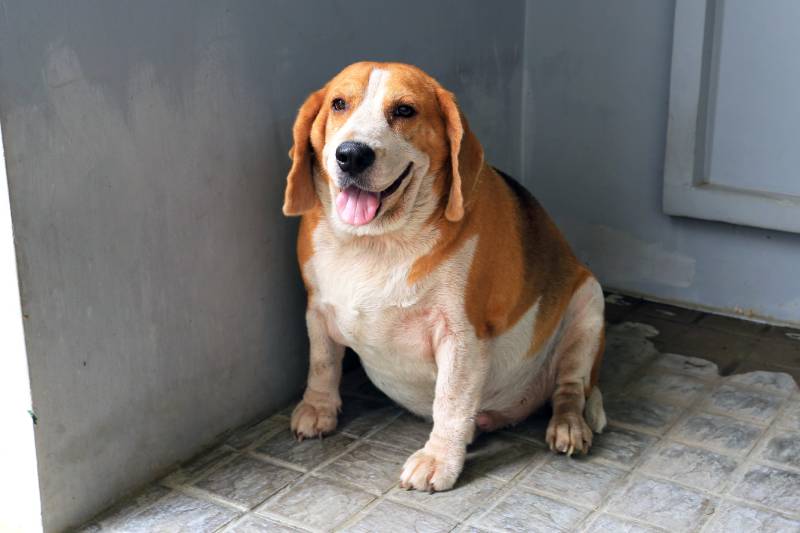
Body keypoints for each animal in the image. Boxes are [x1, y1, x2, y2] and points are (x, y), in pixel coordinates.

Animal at [284, 61, 604, 490]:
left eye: (404, 110)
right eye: (338, 104)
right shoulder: (317, 309)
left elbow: (451, 400)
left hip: (589, 305)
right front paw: (318, 408)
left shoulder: (461, 336)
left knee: (570, 390)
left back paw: (568, 426)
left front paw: (438, 459)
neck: (375, 242)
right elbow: (322, 363)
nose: (351, 155)